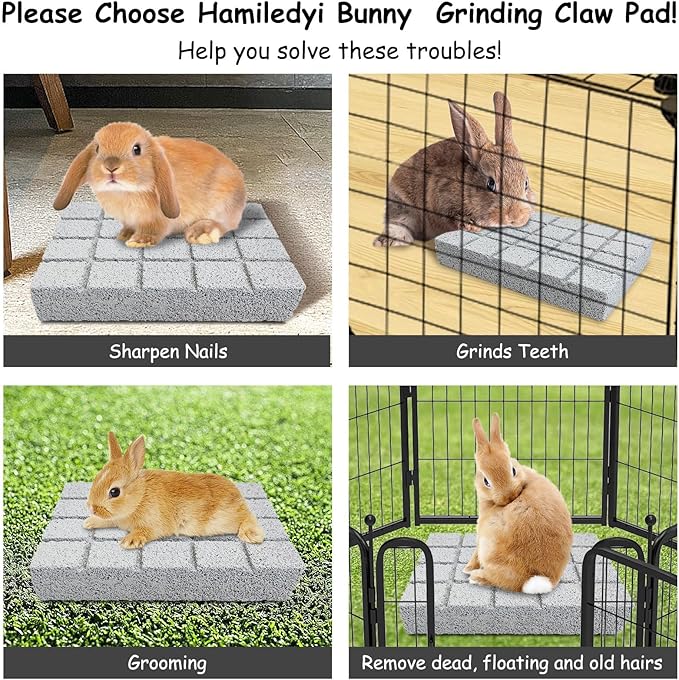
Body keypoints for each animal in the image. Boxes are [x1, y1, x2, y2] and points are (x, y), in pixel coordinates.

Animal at [54, 122, 246, 248]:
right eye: (97, 149)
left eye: (136, 149)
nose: (111, 166)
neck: (125, 192)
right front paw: (124, 235)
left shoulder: (157, 220)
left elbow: (153, 230)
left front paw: (138, 242)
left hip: (223, 201)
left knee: (225, 224)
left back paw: (201, 234)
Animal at [83, 432, 264, 549]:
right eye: (96, 477)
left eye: (114, 492)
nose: (92, 508)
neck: (140, 497)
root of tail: (239, 496)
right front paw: (90, 522)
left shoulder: (153, 524)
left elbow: (146, 531)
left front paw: (130, 541)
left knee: (248, 517)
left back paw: (252, 535)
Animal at [463, 414, 573, 594]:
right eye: (486, 481)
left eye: (513, 470)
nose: (508, 496)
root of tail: (540, 580)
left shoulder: (480, 534)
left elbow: (475, 553)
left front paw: (467, 568)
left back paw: (476, 577)